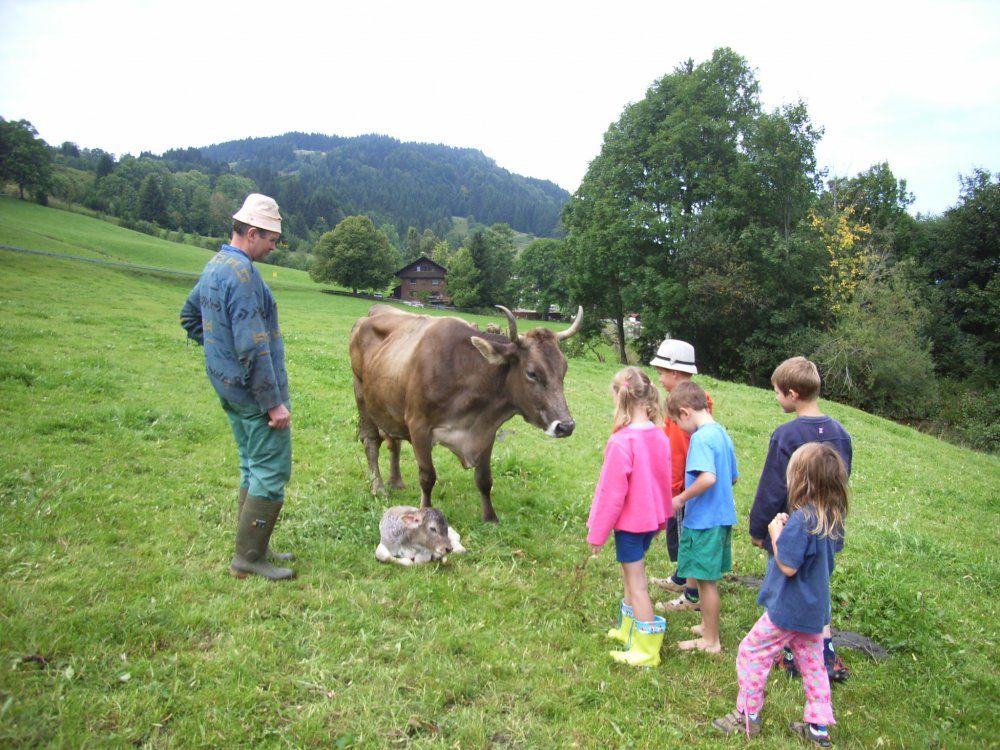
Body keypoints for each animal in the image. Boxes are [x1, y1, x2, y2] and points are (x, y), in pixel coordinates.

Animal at [349, 304, 582, 522]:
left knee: (394, 442)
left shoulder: (487, 431)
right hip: (362, 397)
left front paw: (490, 517)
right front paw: (425, 513)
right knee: (371, 442)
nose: (566, 426)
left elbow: (485, 479)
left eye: (564, 370)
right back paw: (378, 487)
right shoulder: (418, 426)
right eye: (532, 373)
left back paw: (396, 481)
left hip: (389, 405)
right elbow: (427, 476)